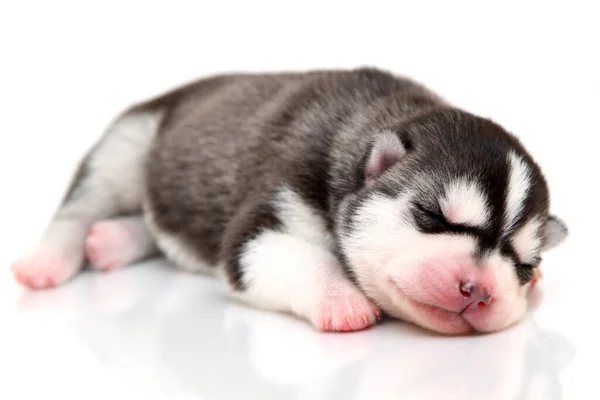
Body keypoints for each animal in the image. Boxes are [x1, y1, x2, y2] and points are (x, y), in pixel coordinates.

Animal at [10, 68, 568, 334]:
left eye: (524, 264)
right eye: (431, 216)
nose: (479, 291)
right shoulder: (269, 213)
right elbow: (295, 255)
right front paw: (343, 298)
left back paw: (112, 242)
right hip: (128, 143)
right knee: (80, 206)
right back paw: (49, 260)